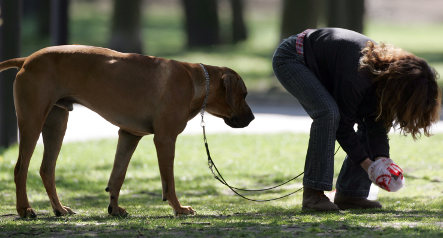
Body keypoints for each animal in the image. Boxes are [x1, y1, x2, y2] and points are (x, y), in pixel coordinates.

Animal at [0, 44, 255, 218]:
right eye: (244, 94)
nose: (252, 118)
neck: (197, 81)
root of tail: (27, 59)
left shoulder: (129, 135)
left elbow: (118, 175)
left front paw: (114, 208)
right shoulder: (165, 139)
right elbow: (169, 181)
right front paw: (178, 208)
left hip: (57, 122)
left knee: (46, 169)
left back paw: (59, 209)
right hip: (32, 120)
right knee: (21, 168)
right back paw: (25, 209)